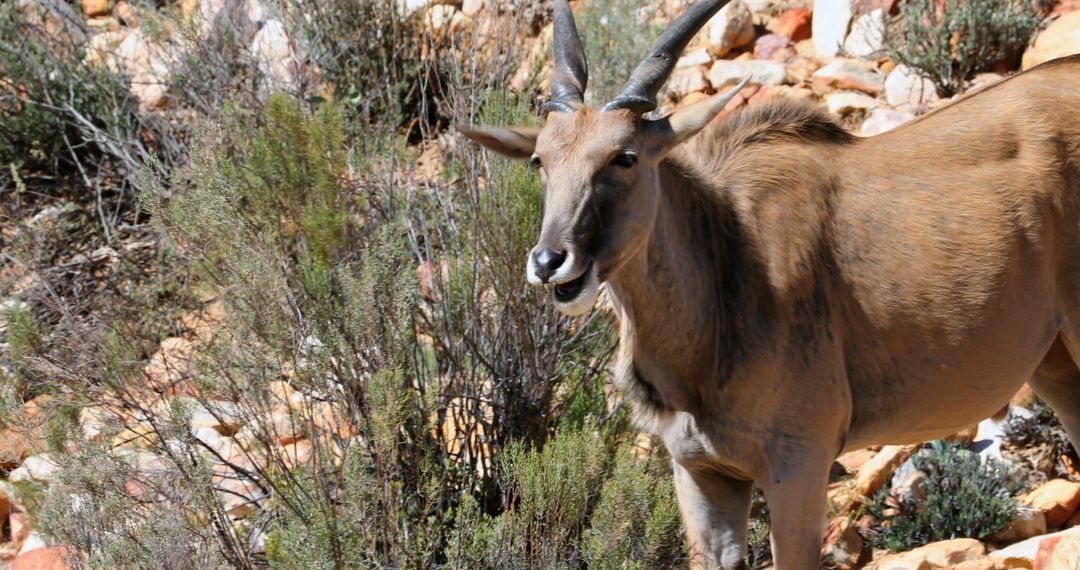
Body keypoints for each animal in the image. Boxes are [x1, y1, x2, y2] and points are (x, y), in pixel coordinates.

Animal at [462, 1, 1080, 565]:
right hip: (1053, 363)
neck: (729, 264)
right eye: (540, 161)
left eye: (626, 157)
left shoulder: (800, 463)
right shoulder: (701, 471)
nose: (550, 262)